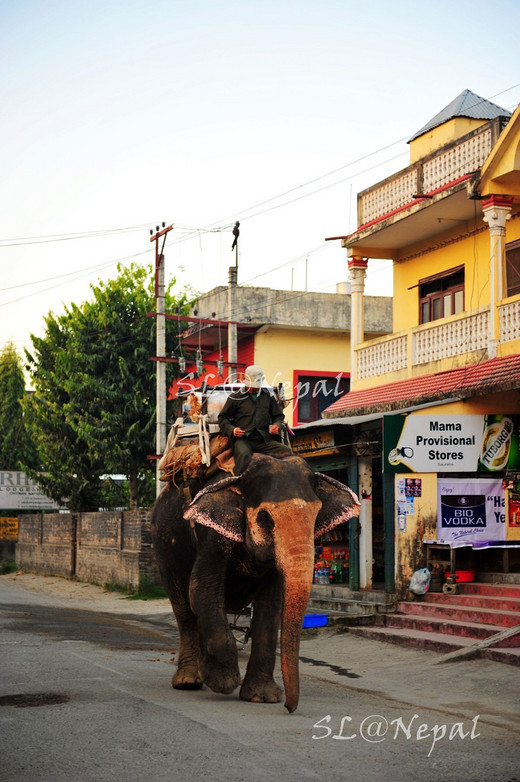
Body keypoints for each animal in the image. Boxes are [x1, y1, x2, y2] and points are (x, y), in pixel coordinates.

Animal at [150, 450, 360, 712]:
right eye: (265, 517)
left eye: (316, 516)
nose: (289, 708)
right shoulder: (211, 535)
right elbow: (201, 589)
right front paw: (223, 682)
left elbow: (271, 604)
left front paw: (262, 697)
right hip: (163, 546)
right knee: (183, 607)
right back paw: (189, 681)